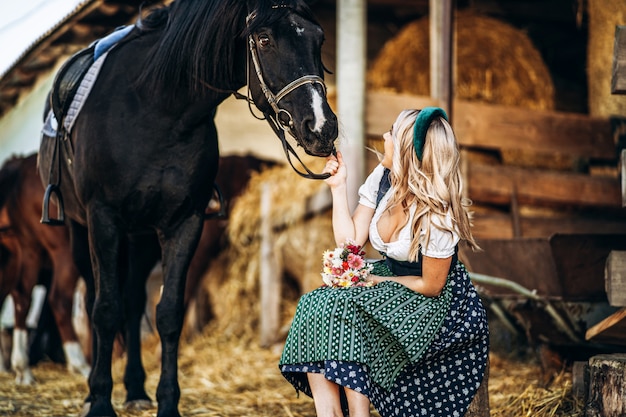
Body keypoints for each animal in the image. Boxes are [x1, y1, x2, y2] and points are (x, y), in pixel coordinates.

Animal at [0, 151, 89, 382]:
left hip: (30, 251)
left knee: (22, 296)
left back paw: (22, 367)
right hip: (63, 253)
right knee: (59, 301)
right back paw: (81, 364)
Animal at [37, 0, 336, 416]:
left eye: (319, 37)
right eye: (264, 39)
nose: (322, 128)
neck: (156, 109)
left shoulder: (184, 223)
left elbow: (168, 313)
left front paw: (166, 402)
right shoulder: (103, 219)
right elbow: (105, 309)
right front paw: (99, 401)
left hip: (142, 238)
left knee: (133, 302)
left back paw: (135, 388)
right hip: (83, 234)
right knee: (99, 298)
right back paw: (94, 391)